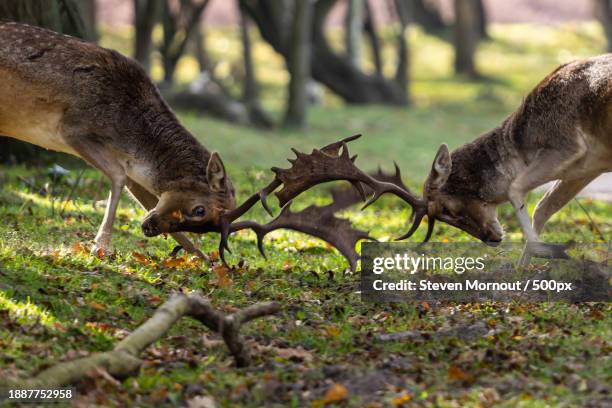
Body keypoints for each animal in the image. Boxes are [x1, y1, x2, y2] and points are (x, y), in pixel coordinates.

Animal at [0, 21, 237, 255]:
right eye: (200, 210)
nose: (149, 227)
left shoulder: (136, 175)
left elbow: (146, 199)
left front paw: (205, 259)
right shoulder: (73, 128)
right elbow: (118, 176)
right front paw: (100, 246)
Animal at [400, 54, 612, 264]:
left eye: (446, 208)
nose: (490, 238)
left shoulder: (566, 142)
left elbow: (514, 187)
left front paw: (546, 251)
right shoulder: (587, 168)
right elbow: (544, 206)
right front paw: (523, 269)